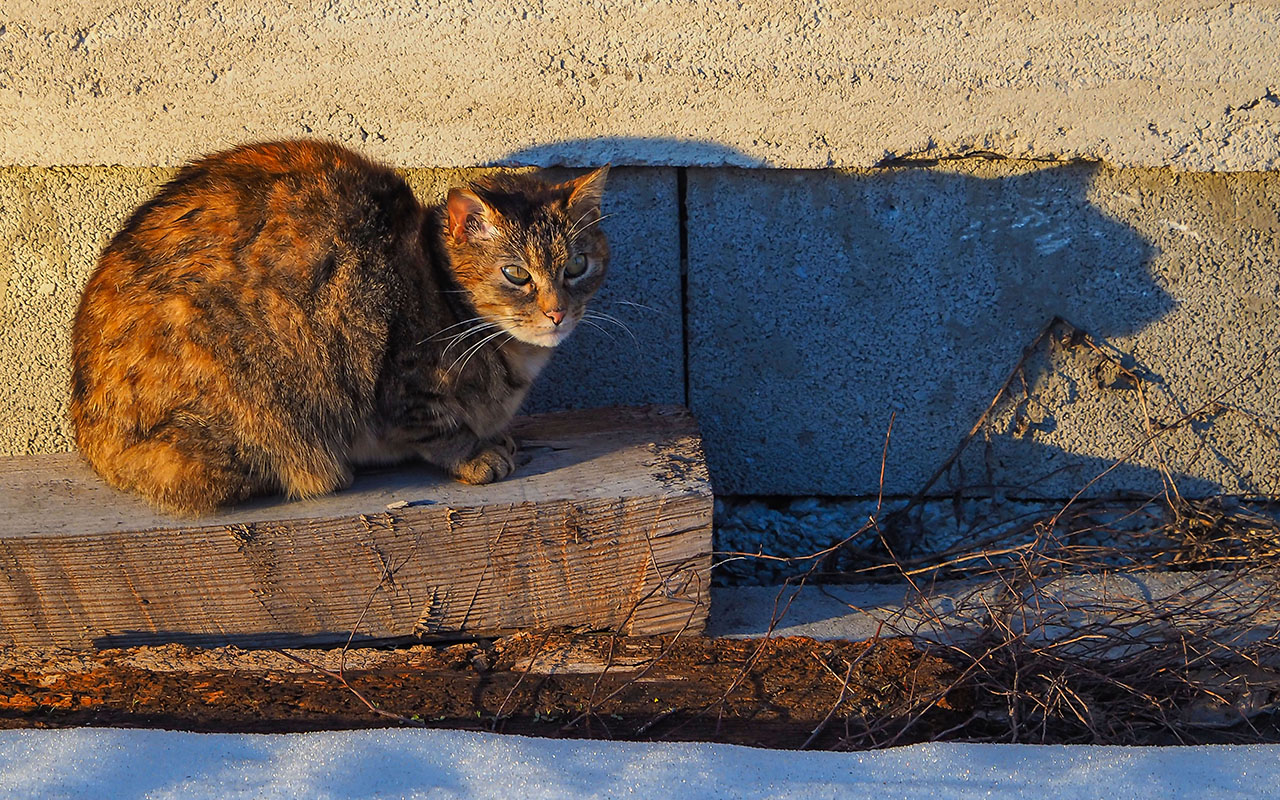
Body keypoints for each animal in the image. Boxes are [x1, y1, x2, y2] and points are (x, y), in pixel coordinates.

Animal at [68, 140, 609, 514]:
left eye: (577, 266)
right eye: (516, 274)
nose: (557, 311)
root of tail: (90, 440)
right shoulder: (405, 387)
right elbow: (440, 430)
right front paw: (476, 453)